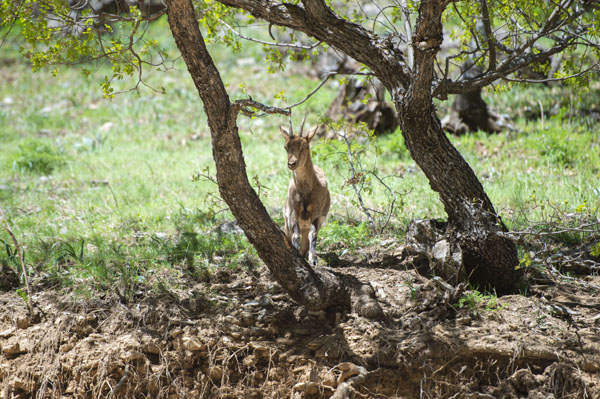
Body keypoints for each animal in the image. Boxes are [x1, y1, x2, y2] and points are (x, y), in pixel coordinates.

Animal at [280, 116, 330, 266]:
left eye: (304, 146)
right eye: (286, 147)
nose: (292, 164)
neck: (306, 192)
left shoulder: (317, 212)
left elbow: (312, 234)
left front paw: (313, 259)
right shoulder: (293, 211)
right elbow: (295, 235)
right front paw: (296, 252)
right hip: (288, 221)